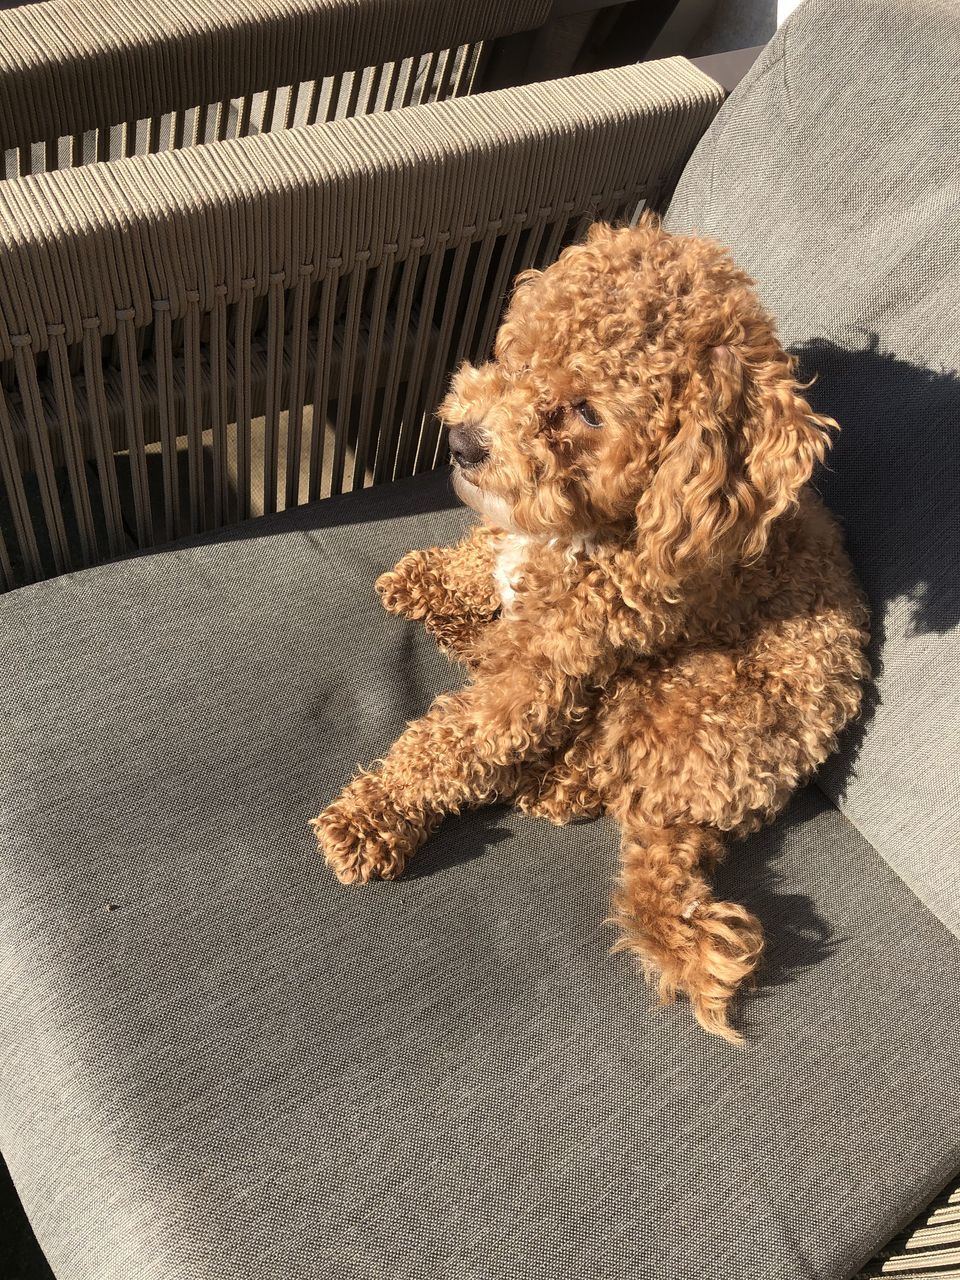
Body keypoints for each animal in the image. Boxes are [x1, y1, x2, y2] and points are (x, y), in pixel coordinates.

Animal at [309, 220, 870, 1039]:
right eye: (521, 354)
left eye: (590, 413)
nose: (466, 442)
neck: (593, 532)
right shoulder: (513, 546)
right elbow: (486, 552)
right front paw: (435, 581)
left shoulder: (547, 669)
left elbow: (452, 742)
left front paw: (373, 814)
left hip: (685, 695)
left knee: (604, 779)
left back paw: (546, 774)